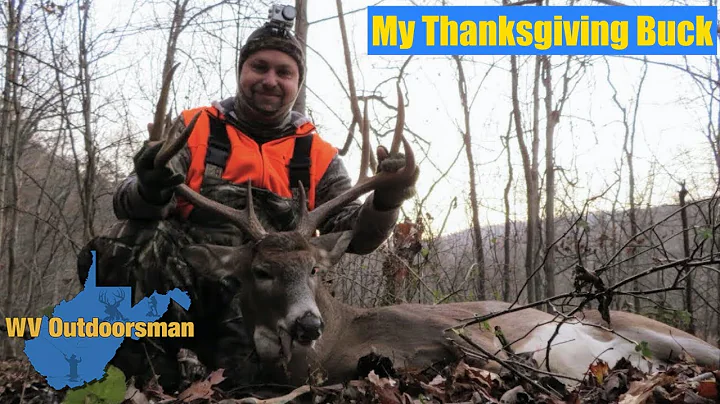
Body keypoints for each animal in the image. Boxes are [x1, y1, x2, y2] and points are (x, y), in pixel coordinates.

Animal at [145, 84, 720, 389]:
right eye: (260, 271)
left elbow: (494, 356)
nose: (308, 323)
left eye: (316, 269)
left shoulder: (460, 330)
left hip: (661, 331)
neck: (335, 346)